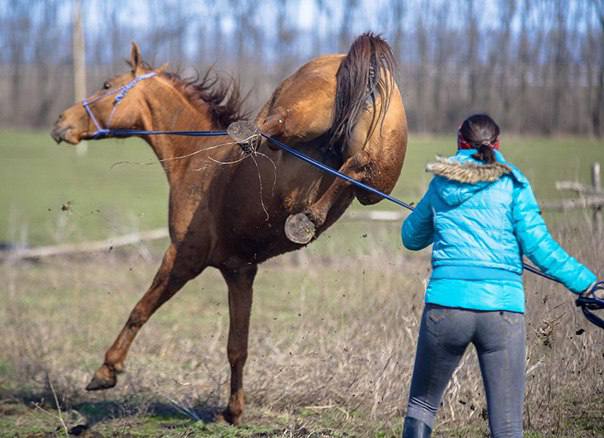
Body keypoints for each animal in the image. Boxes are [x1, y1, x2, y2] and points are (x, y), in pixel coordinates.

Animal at [50, 33, 406, 424]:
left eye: (106, 85)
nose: (61, 121)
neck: (197, 155)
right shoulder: (240, 271)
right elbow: (237, 346)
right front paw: (233, 410)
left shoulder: (183, 257)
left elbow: (140, 310)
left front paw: (106, 371)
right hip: (380, 173)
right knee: (356, 166)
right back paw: (306, 218)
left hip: (300, 113)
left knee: (275, 124)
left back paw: (264, 156)